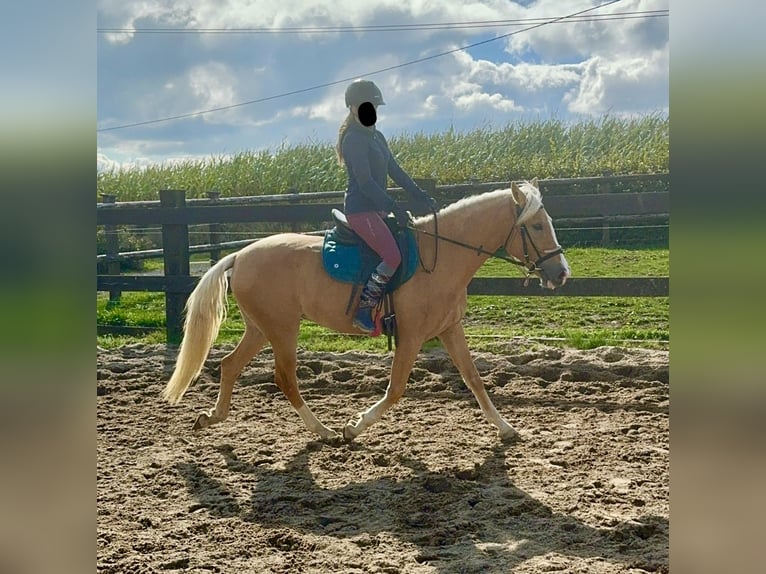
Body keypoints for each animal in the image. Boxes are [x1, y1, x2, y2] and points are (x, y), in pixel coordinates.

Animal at [162, 180, 568, 446]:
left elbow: (475, 379)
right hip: (282, 329)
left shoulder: (450, 329)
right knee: (285, 378)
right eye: (536, 225)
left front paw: (506, 428)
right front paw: (353, 426)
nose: (561, 273)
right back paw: (325, 431)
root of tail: (240, 255)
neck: (440, 257)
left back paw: (211, 418)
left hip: (261, 328)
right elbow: (396, 388)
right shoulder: (412, 335)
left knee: (229, 365)